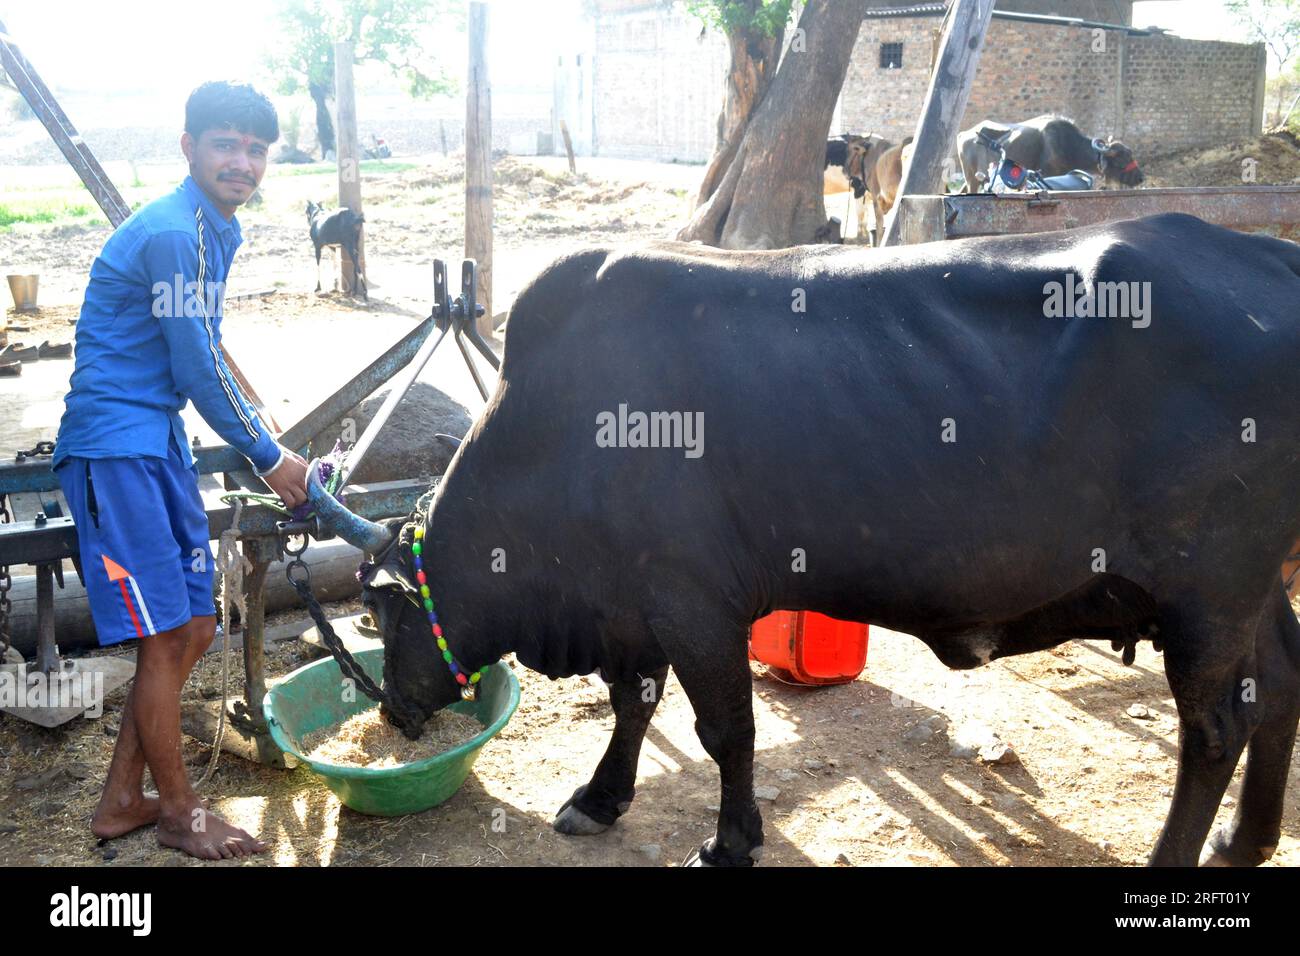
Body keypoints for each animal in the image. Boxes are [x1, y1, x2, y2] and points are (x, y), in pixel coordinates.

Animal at [314, 214, 1300, 868]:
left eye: (381, 616)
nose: (393, 713)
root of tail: (1267, 251)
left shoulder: (690, 598)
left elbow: (726, 730)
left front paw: (728, 842)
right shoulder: (633, 608)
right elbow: (635, 704)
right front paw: (600, 797)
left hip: (1208, 588)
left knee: (1217, 728)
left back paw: (1179, 857)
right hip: (1251, 589)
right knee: (1282, 684)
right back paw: (1241, 841)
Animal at [956, 113, 1149, 192]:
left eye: (1130, 153)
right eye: (1122, 158)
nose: (1141, 178)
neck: (1069, 147)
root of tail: (964, 134)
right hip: (972, 179)